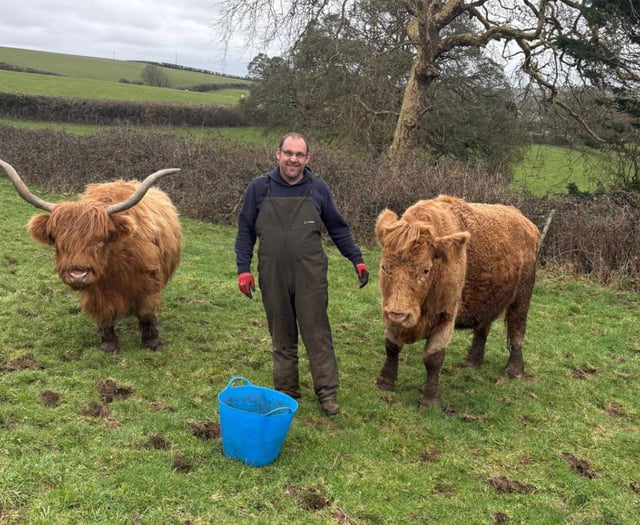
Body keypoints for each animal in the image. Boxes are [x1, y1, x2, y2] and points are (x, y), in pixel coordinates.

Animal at [0, 159, 182, 353]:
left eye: (100, 240)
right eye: (58, 241)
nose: (78, 274)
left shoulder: (148, 282)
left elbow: (146, 312)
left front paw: (152, 342)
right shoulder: (96, 292)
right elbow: (103, 313)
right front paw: (109, 343)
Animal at [374, 195, 540, 408]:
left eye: (425, 270)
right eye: (384, 266)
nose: (399, 315)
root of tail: (526, 222)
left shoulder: (446, 315)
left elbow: (433, 357)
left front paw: (431, 401)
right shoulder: (390, 312)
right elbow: (392, 346)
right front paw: (385, 381)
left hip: (521, 299)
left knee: (517, 329)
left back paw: (515, 369)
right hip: (488, 299)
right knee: (482, 329)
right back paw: (471, 362)